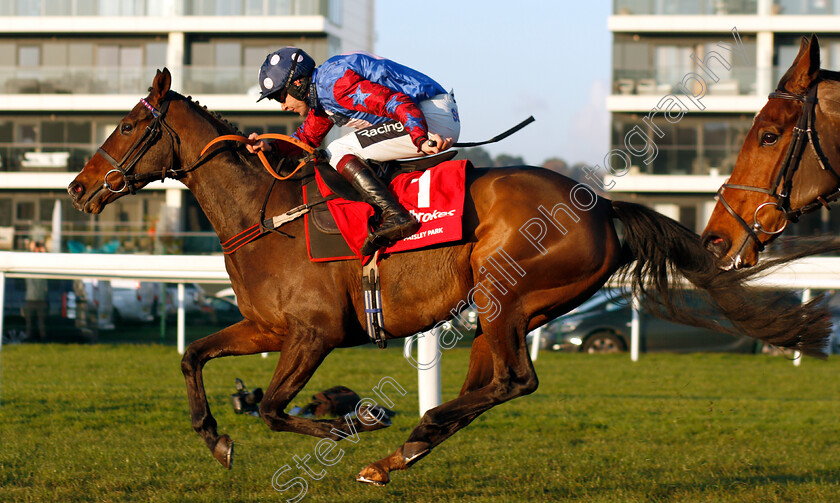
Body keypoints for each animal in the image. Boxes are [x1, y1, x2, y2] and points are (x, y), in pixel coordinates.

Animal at [69, 69, 832, 486]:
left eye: (129, 125)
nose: (79, 187)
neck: (269, 212)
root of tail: (601, 205)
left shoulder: (312, 334)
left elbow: (275, 407)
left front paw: (344, 421)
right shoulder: (265, 325)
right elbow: (194, 357)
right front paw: (217, 438)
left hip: (504, 291)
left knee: (514, 380)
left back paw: (400, 434)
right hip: (510, 308)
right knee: (489, 383)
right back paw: (402, 449)